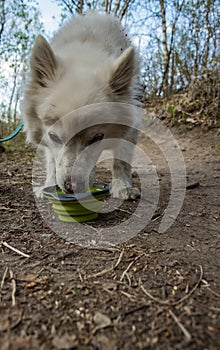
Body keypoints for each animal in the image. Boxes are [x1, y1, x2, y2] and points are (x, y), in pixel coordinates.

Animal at [22, 10, 141, 200]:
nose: (71, 187)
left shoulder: (132, 122)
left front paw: (123, 187)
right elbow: (51, 160)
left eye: (97, 137)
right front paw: (48, 185)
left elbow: (121, 160)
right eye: (55, 137)